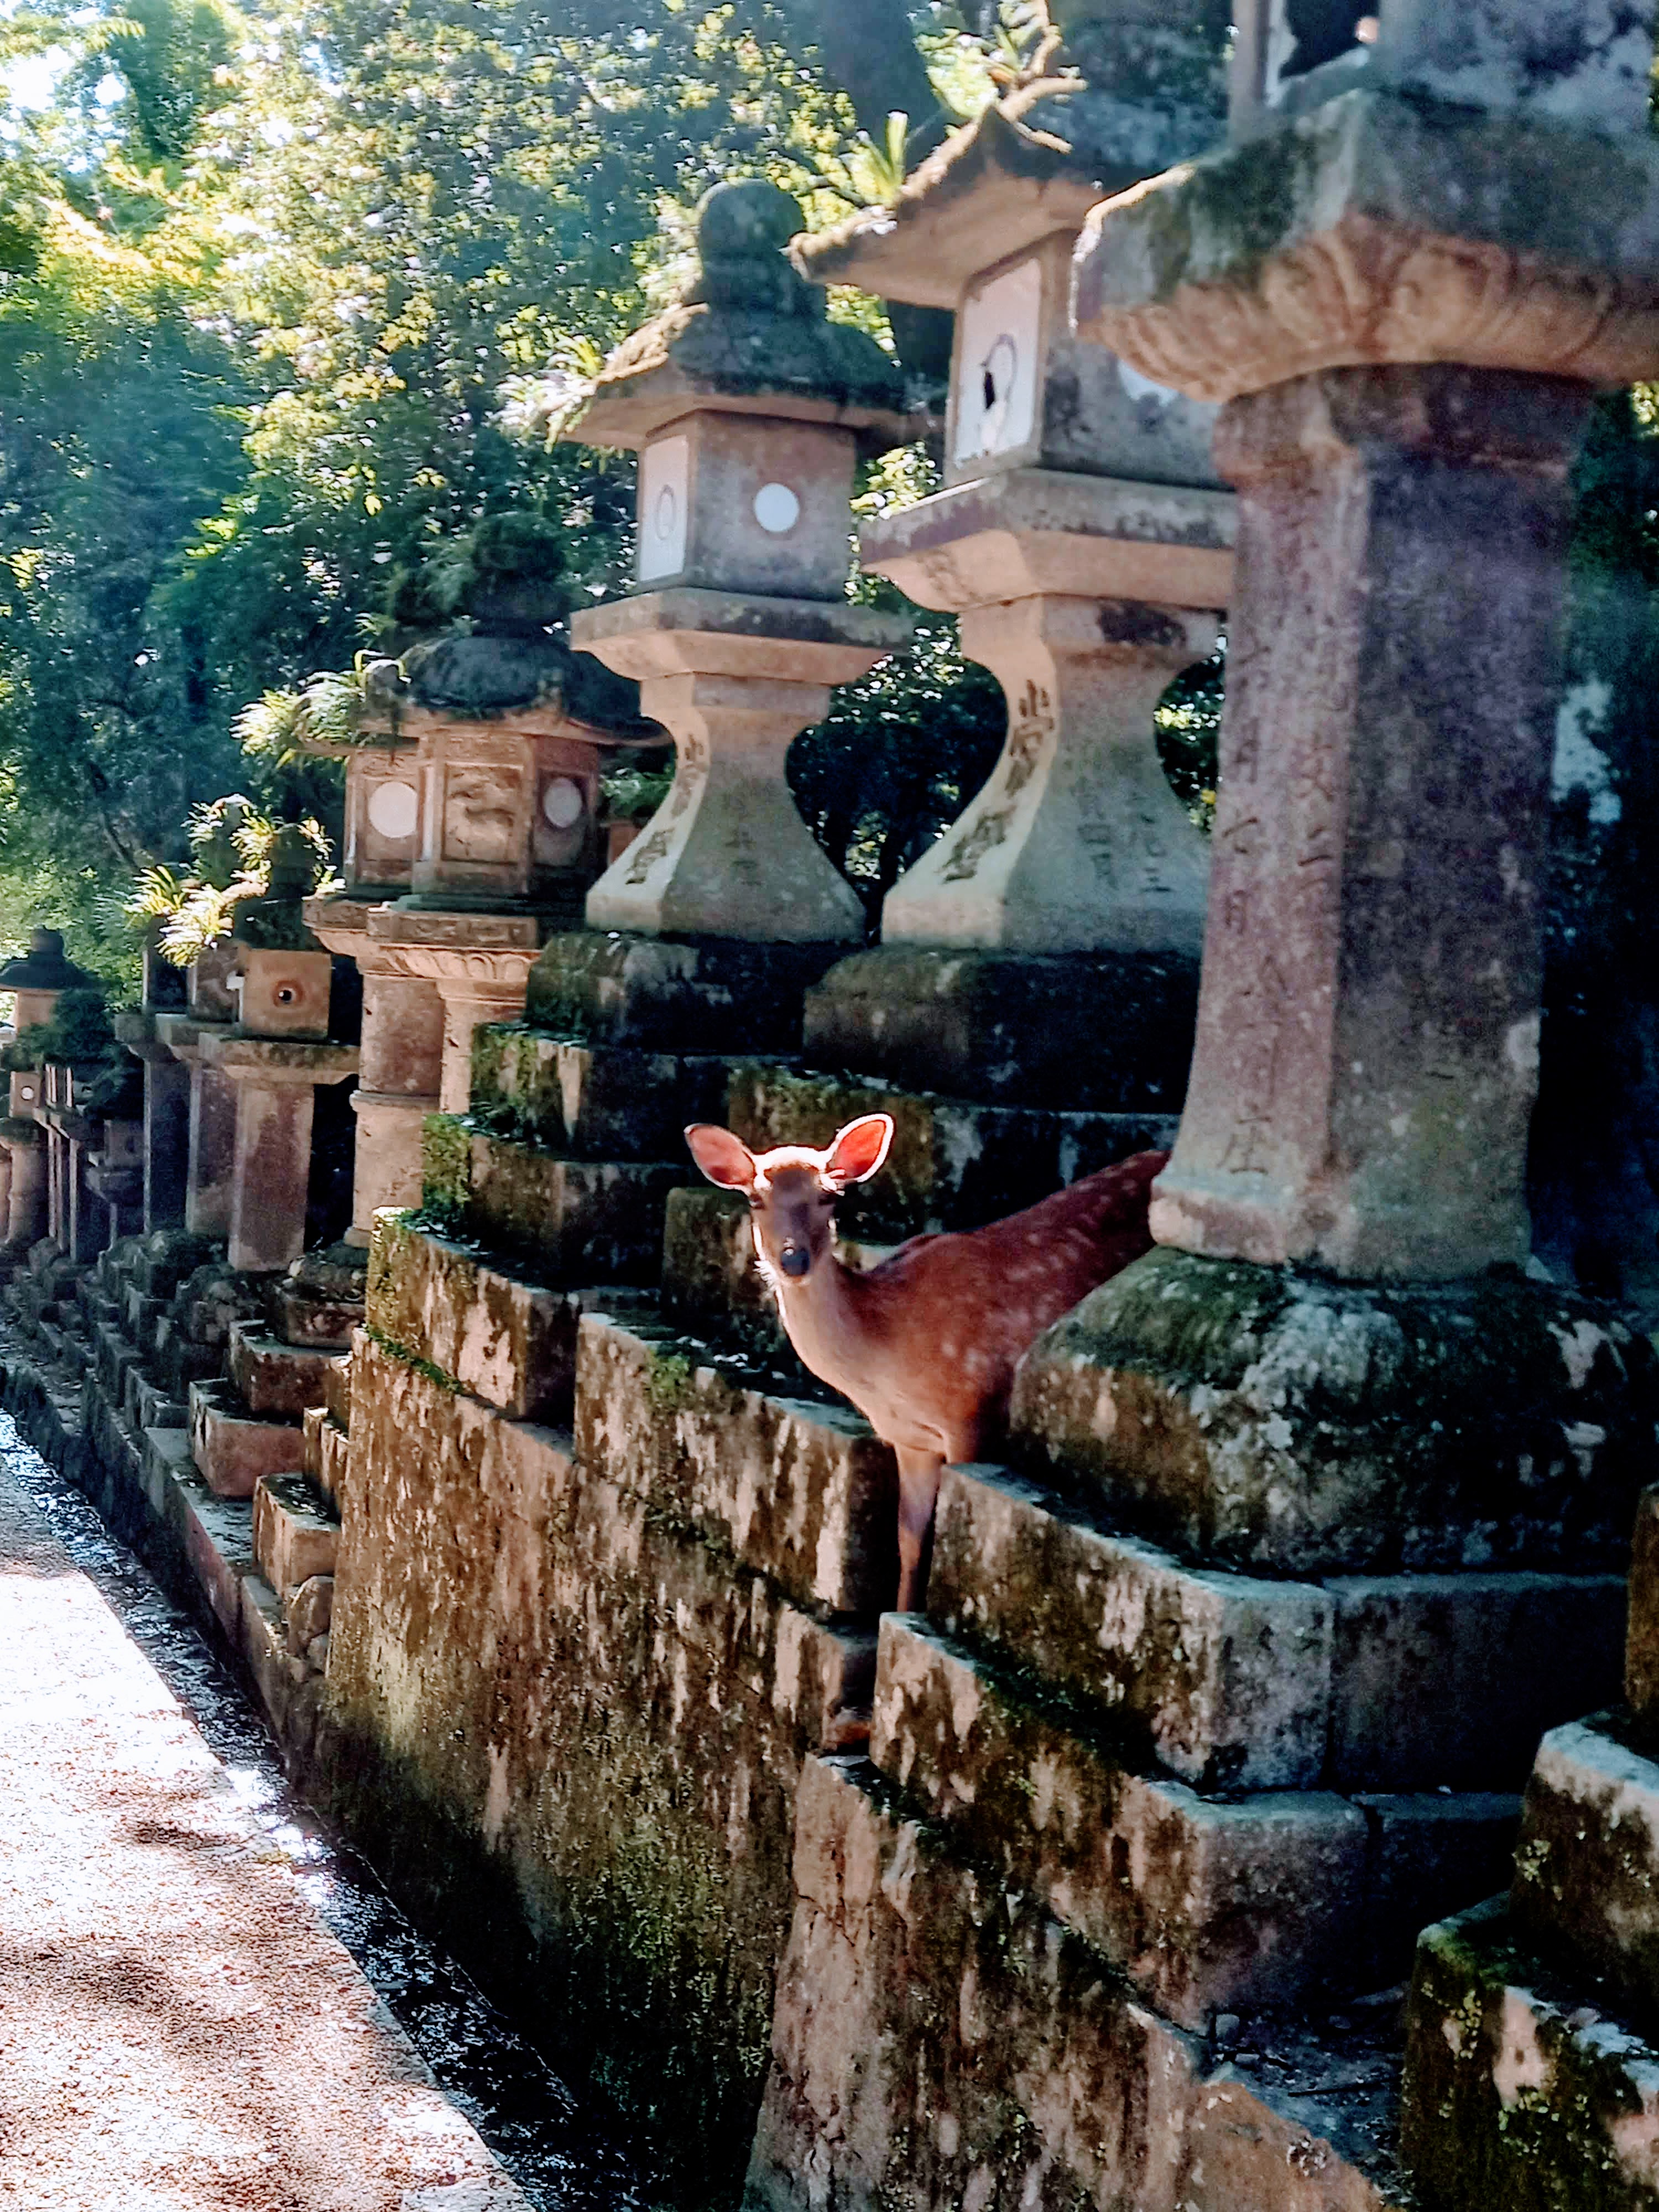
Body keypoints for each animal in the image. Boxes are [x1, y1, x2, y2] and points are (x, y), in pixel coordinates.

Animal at [685, 1115, 1167, 1612]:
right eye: (755, 1198)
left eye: (829, 1196)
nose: (794, 1259)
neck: (887, 1359)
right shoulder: (910, 1440)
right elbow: (910, 1539)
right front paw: (898, 1613)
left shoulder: (972, 1414)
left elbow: (941, 1536)